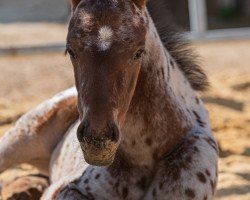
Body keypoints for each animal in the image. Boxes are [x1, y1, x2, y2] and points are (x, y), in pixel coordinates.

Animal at [0, 0, 218, 200]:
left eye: (138, 52)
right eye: (70, 50)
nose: (98, 141)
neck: (144, 151)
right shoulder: (65, 188)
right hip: (19, 139)